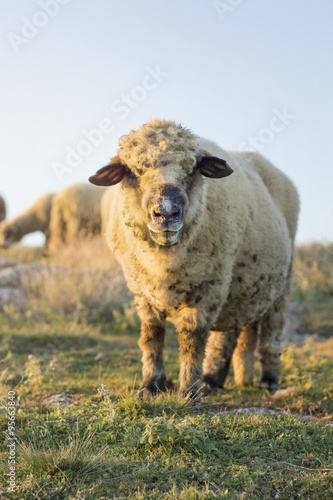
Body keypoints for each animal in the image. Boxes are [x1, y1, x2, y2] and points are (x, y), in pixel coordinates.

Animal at [88, 117, 298, 398]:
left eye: (192, 170)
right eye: (134, 171)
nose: (166, 213)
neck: (164, 262)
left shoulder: (209, 286)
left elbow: (192, 339)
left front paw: (188, 391)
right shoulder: (141, 289)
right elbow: (152, 335)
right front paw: (151, 385)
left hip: (281, 280)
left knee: (272, 329)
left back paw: (268, 380)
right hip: (243, 282)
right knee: (235, 331)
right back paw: (216, 378)